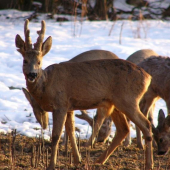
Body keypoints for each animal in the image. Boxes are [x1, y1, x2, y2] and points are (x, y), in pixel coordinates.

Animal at [15, 19, 153, 169]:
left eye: (39, 61)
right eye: (25, 60)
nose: (32, 74)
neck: (46, 86)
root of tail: (148, 77)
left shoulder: (60, 104)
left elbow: (56, 136)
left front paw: (51, 165)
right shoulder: (69, 107)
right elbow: (71, 132)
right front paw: (77, 160)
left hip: (128, 100)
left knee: (146, 124)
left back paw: (149, 164)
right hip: (115, 103)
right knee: (124, 129)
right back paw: (99, 161)